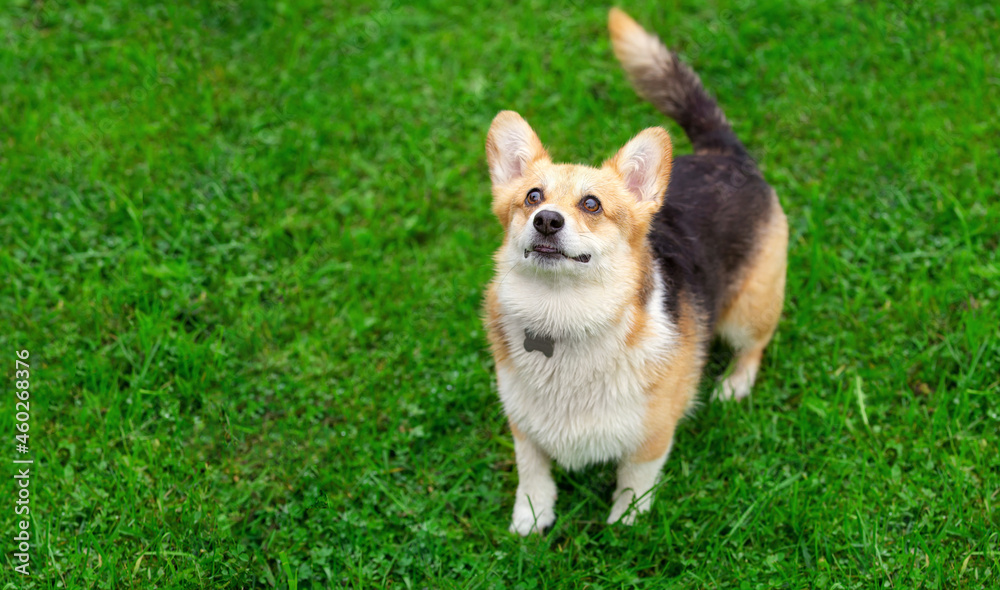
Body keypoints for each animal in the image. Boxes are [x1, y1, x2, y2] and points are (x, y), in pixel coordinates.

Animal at [483, 8, 788, 535]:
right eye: (532, 197)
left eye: (592, 204)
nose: (547, 220)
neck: (562, 315)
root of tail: (726, 154)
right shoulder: (523, 422)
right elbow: (532, 469)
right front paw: (532, 516)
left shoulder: (653, 434)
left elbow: (634, 476)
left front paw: (626, 521)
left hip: (747, 311)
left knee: (754, 346)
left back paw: (734, 384)